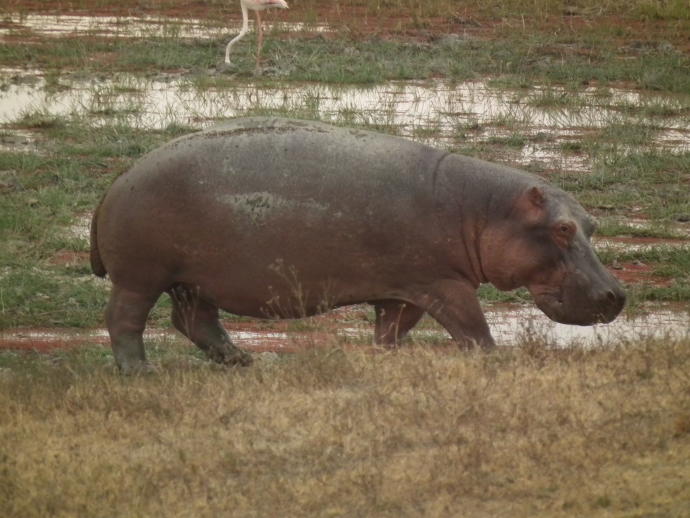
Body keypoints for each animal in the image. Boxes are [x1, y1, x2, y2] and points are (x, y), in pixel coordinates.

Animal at [90, 117, 625, 372]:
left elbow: (391, 332)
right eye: (562, 229)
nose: (617, 294)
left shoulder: (402, 290)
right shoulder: (443, 282)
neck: (483, 210)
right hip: (142, 276)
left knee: (195, 322)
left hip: (193, 280)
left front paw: (384, 362)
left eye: (591, 223)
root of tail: (117, 181)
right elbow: (473, 328)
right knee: (125, 321)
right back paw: (141, 373)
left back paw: (247, 363)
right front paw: (495, 362)